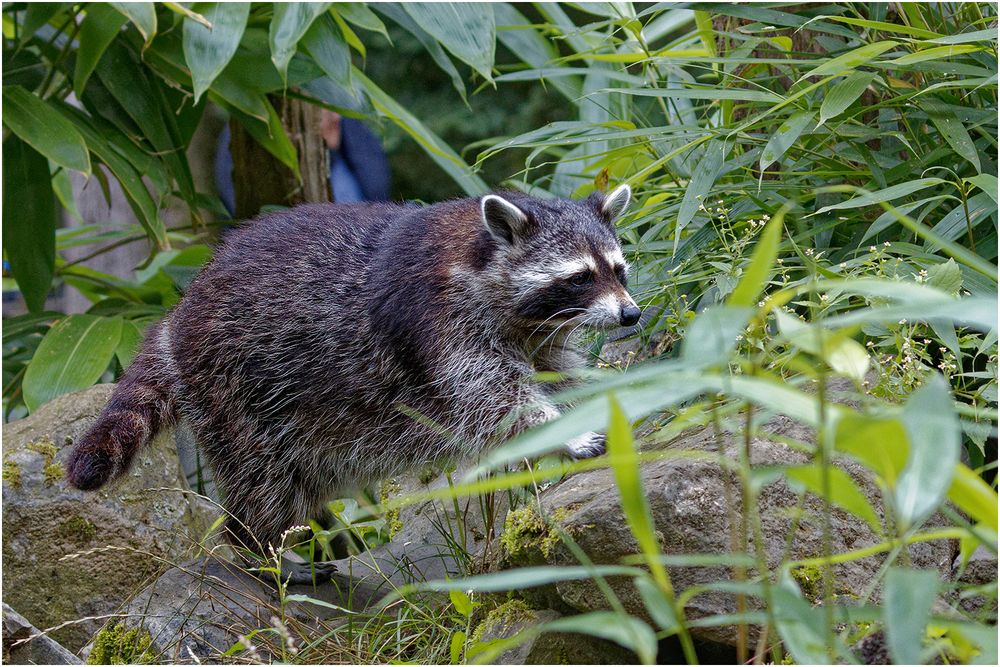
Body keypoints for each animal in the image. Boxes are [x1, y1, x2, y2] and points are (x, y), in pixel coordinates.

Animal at [66, 184, 640, 580]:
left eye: (619, 270)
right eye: (580, 277)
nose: (631, 315)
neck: (481, 256)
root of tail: (182, 311)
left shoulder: (537, 334)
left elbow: (555, 377)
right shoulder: (440, 323)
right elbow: (493, 397)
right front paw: (562, 432)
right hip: (235, 385)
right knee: (264, 481)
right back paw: (258, 548)